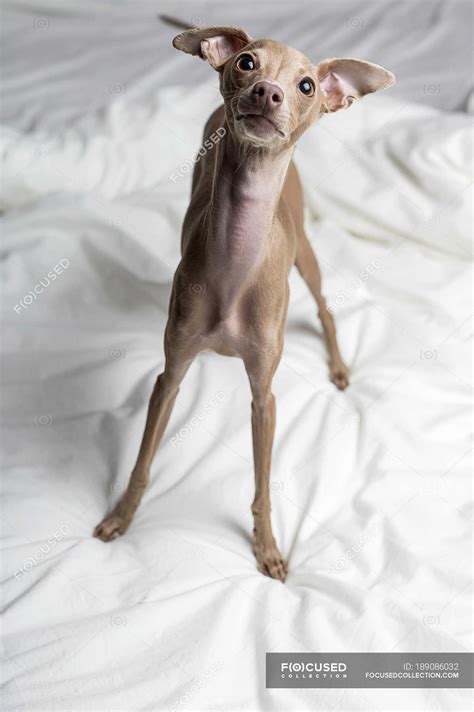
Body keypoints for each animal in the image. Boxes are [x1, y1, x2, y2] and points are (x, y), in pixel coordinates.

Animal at [94, 19, 394, 580]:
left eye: (307, 86)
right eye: (247, 62)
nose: (267, 92)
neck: (234, 266)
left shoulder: (264, 398)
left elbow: (261, 487)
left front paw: (268, 548)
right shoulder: (169, 375)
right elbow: (143, 461)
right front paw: (121, 517)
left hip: (306, 255)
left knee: (324, 308)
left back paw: (340, 367)